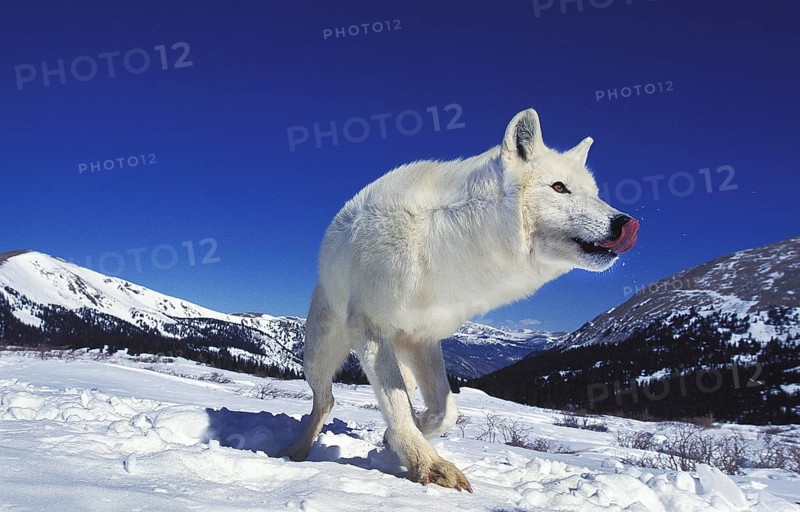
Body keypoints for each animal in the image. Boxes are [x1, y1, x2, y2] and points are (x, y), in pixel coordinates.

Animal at [284, 108, 639, 492]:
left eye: (595, 194)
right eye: (560, 187)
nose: (624, 222)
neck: (447, 244)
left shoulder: (423, 338)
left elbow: (444, 412)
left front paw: (399, 441)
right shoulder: (370, 329)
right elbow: (397, 407)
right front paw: (428, 465)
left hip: (398, 353)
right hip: (319, 356)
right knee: (325, 400)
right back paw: (296, 450)